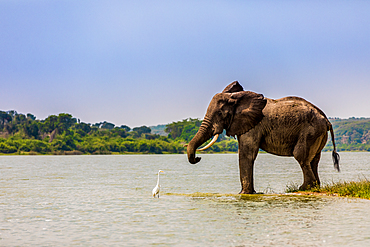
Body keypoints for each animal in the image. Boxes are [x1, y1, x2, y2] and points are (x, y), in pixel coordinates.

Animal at [186, 80, 340, 193]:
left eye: (220, 114)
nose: (198, 158)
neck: (238, 99)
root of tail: (326, 120)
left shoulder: (254, 125)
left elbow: (247, 154)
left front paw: (245, 194)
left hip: (310, 131)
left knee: (300, 155)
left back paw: (302, 189)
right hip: (318, 133)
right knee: (314, 160)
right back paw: (314, 187)